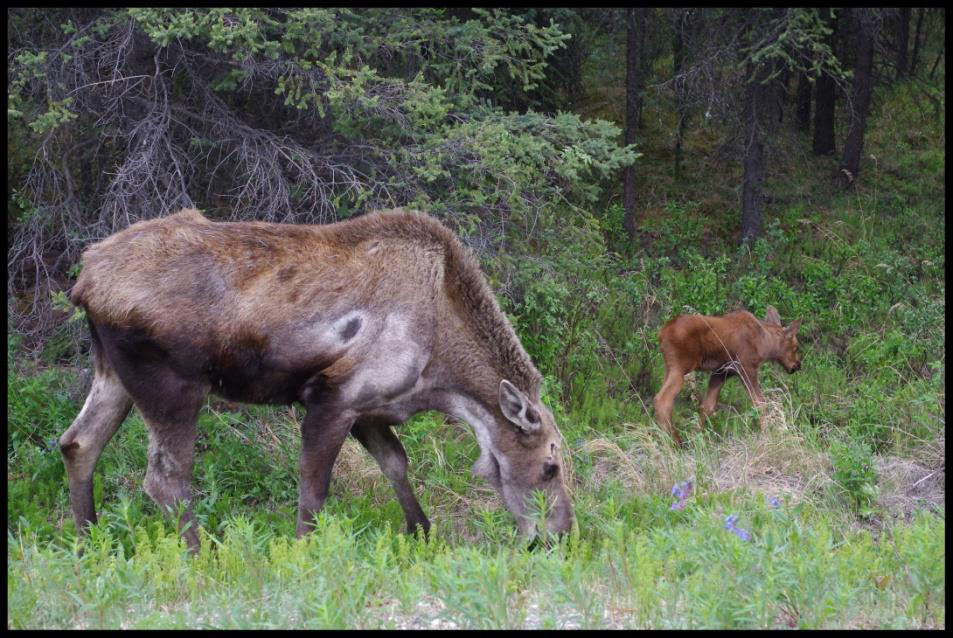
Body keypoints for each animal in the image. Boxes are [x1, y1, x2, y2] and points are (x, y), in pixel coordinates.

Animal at [65, 209, 580, 552]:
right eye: (549, 467)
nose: (560, 536)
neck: (442, 375)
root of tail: (83, 282)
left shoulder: (369, 409)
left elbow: (396, 465)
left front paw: (420, 532)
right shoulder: (333, 397)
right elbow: (314, 490)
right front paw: (303, 552)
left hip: (113, 374)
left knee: (78, 444)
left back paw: (89, 542)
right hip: (171, 386)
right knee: (165, 479)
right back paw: (200, 552)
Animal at [652, 308, 800, 448]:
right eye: (795, 347)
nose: (797, 365)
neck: (764, 344)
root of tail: (662, 333)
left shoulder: (721, 372)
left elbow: (708, 406)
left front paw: (695, 437)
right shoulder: (746, 367)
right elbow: (760, 403)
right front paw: (768, 434)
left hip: (670, 367)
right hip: (681, 366)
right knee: (662, 400)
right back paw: (675, 443)